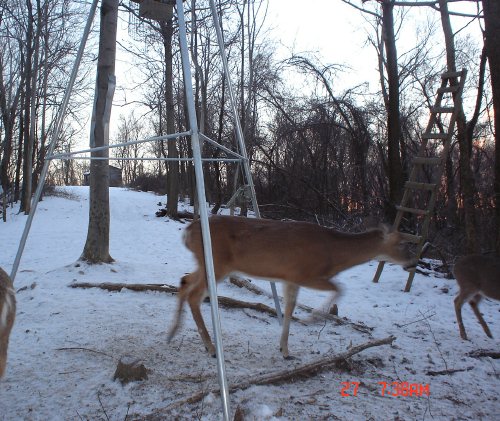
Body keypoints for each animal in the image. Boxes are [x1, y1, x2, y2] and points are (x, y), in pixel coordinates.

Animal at [166, 217, 416, 358]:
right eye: (403, 243)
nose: (413, 262)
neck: (334, 254)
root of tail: (187, 231)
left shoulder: (290, 278)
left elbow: (289, 308)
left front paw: (285, 351)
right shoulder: (305, 273)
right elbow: (340, 289)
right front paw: (312, 318)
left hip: (206, 263)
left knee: (184, 281)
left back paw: (172, 333)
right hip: (217, 263)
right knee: (195, 295)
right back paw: (210, 347)